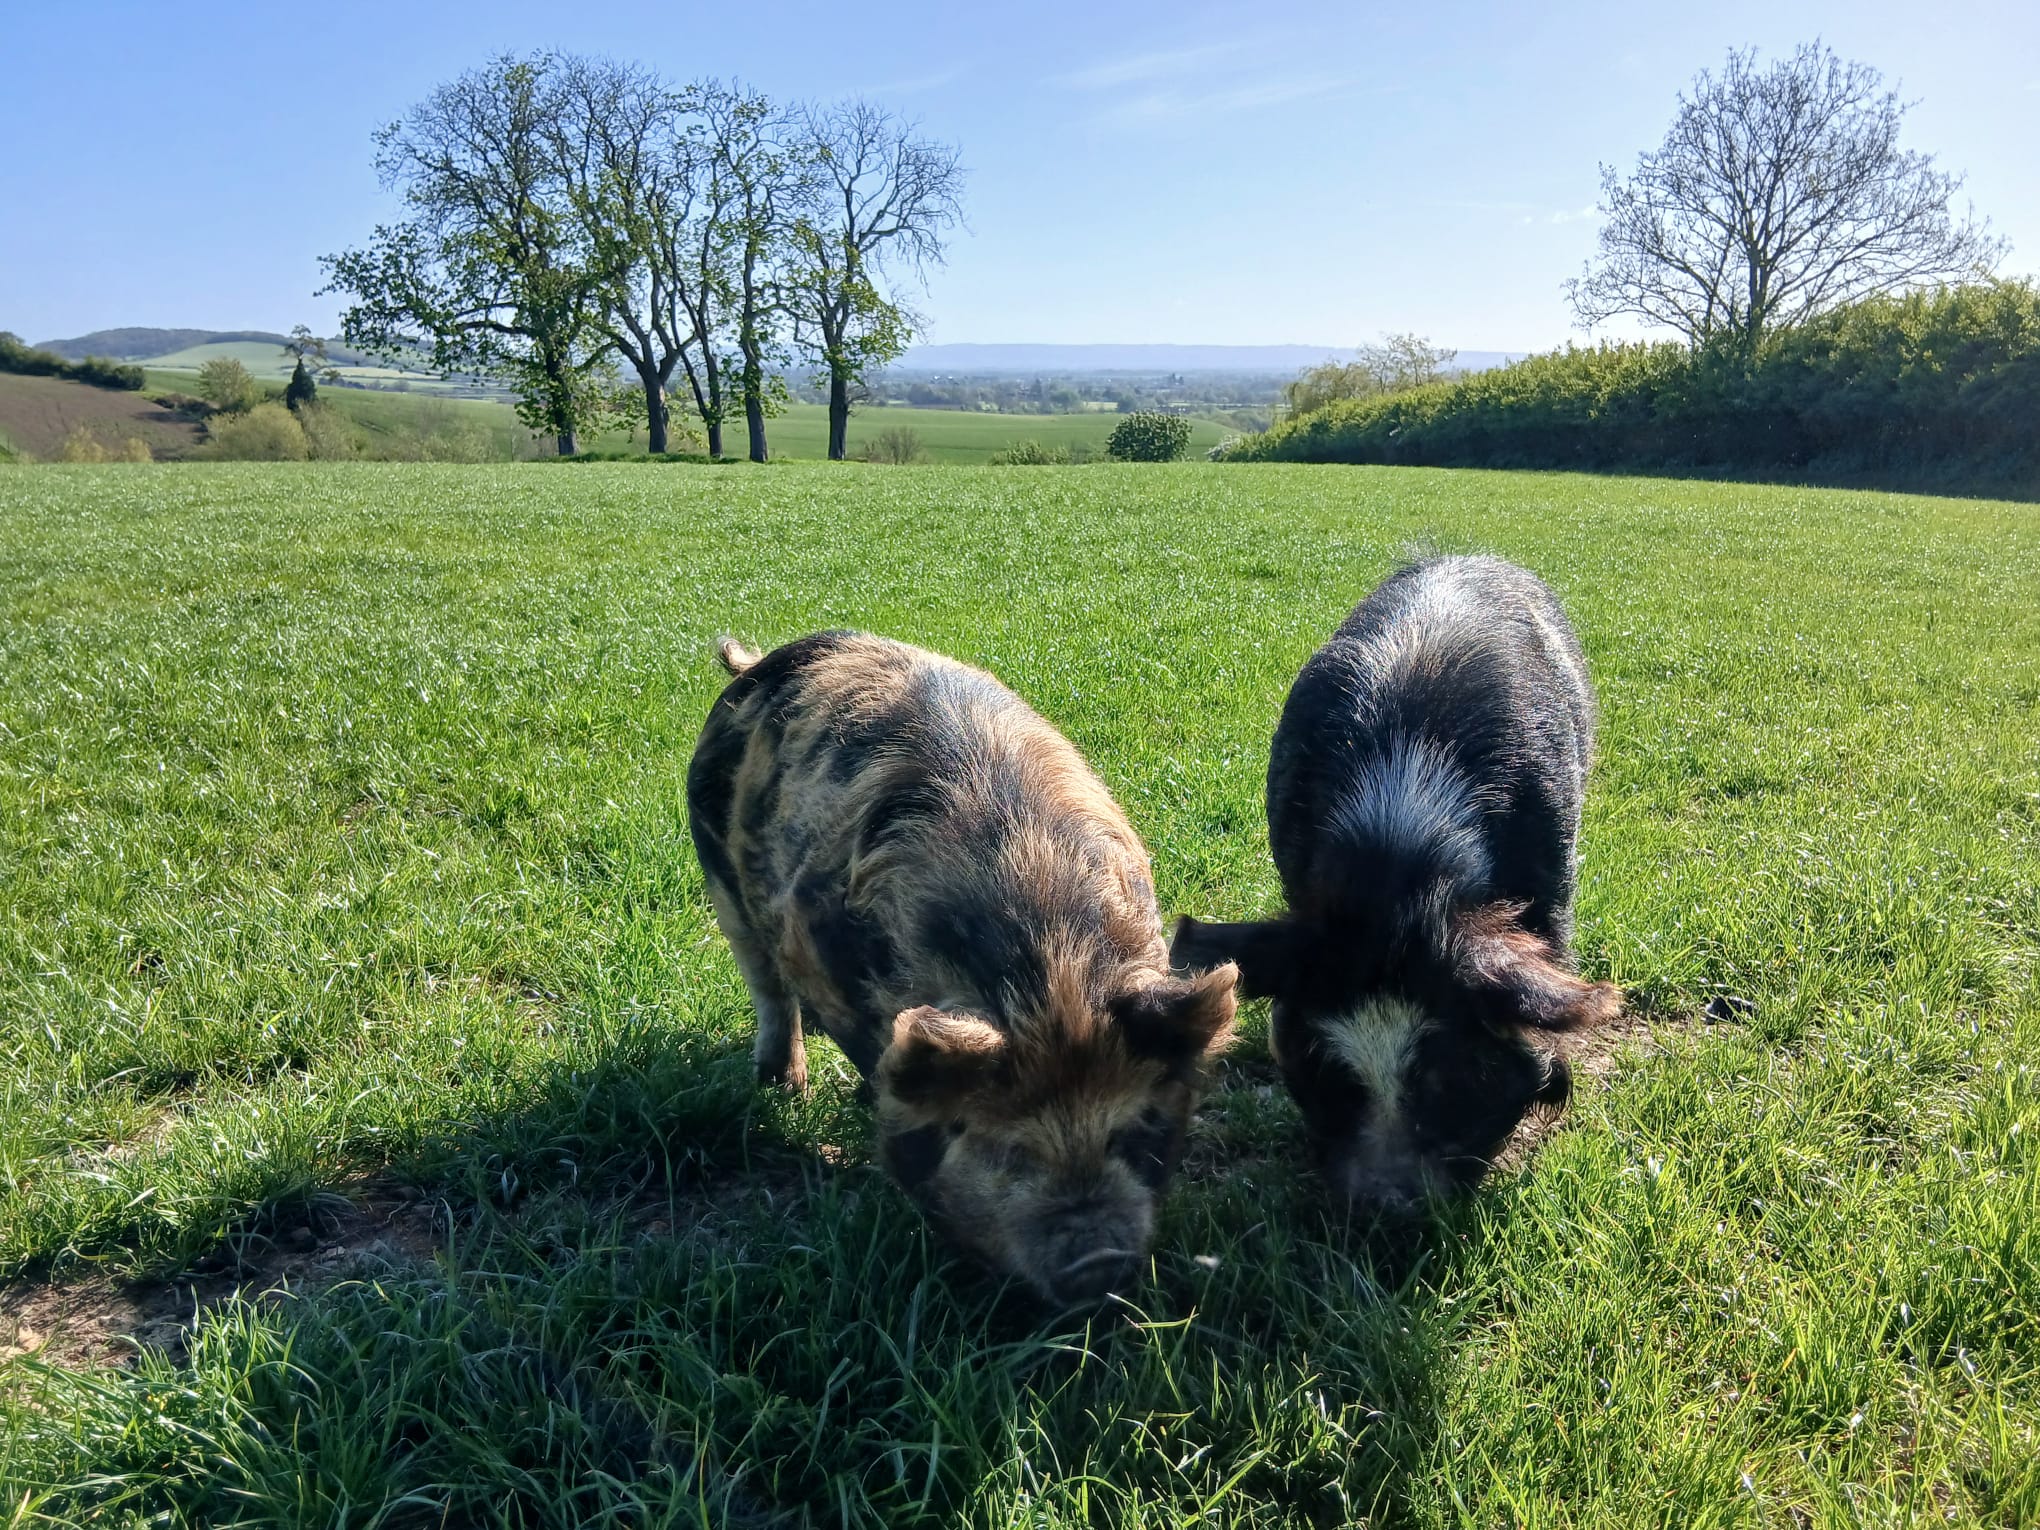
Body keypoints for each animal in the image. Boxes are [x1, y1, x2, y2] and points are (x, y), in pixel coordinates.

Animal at [687, 631, 1237, 1304]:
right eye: (1004, 1148)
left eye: (1128, 1131)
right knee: (765, 985)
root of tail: (760, 662)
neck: (1048, 973)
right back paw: (781, 1086)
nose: (1097, 1261)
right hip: (719, 880)